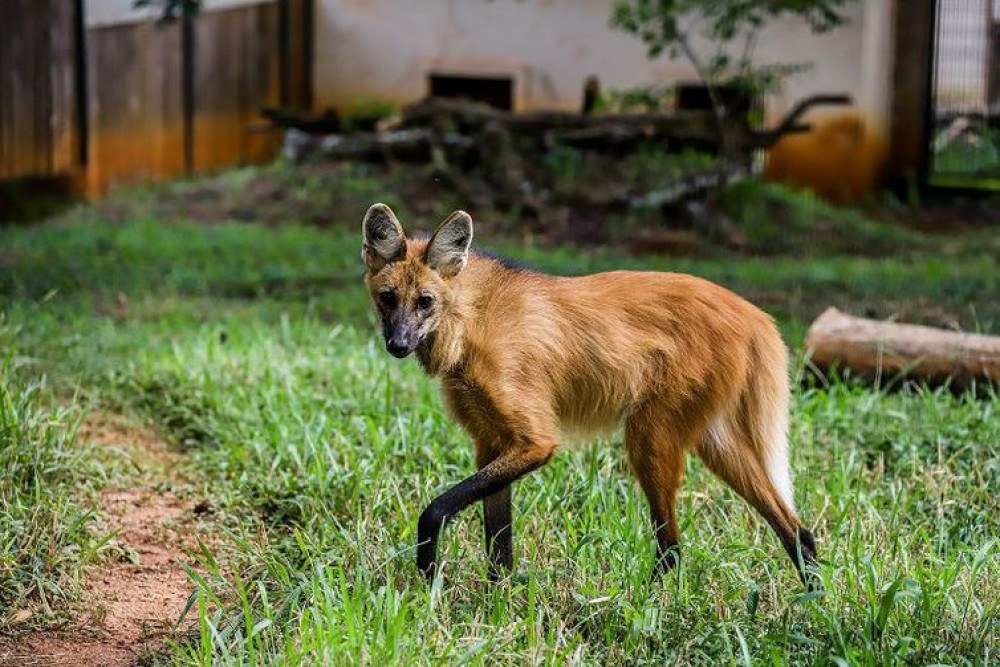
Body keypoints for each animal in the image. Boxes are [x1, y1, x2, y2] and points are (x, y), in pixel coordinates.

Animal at [364, 202, 816, 584]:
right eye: (388, 299)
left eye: (425, 302)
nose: (398, 344)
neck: (470, 322)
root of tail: (754, 314)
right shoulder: (491, 440)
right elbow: (500, 544)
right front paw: (498, 603)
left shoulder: (535, 441)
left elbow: (436, 509)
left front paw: (429, 574)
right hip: (712, 439)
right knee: (796, 529)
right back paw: (813, 602)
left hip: (648, 436)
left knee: (672, 547)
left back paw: (640, 603)